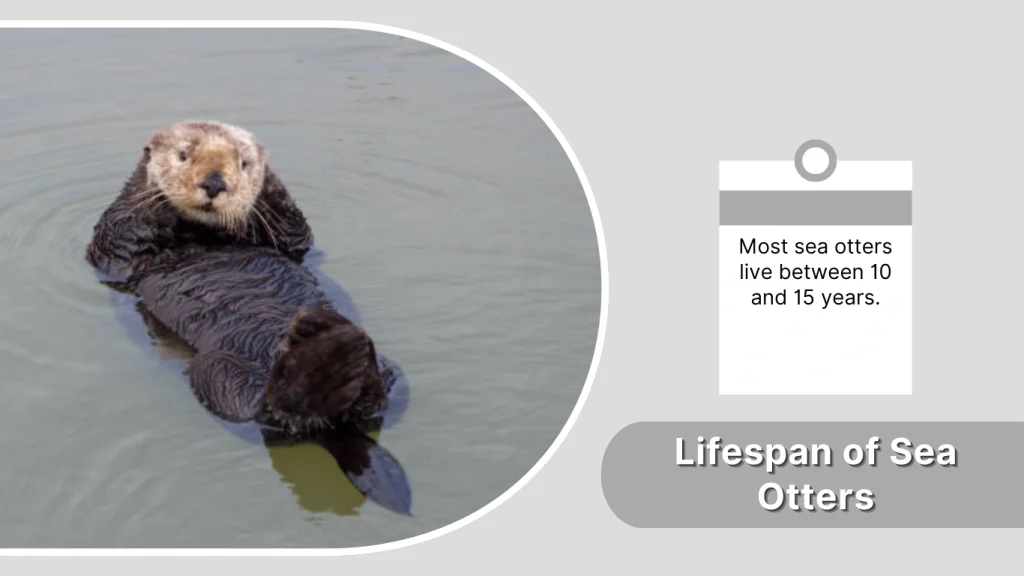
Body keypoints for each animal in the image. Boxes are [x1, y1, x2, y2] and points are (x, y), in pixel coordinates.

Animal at [85, 120, 313, 280]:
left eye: (244, 163)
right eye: (182, 155)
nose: (214, 183)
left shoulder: (296, 242)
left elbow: (297, 233)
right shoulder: (115, 246)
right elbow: (123, 241)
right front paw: (158, 196)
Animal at [123, 244, 412, 515]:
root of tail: (332, 426)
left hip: (388, 371)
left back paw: (330, 345)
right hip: (217, 373)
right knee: (269, 419)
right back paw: (315, 367)